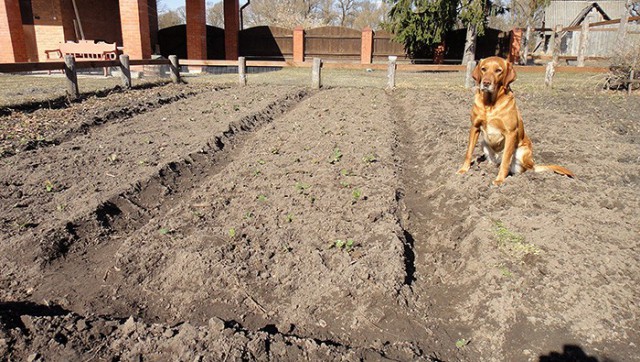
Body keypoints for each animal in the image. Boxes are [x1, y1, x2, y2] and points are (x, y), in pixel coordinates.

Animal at [458, 57, 572, 187]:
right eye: (483, 69)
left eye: (498, 70)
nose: (486, 83)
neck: (490, 105)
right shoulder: (475, 127)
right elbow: (468, 152)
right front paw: (463, 169)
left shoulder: (511, 133)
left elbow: (506, 159)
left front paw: (499, 180)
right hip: (484, 143)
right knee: (495, 161)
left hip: (523, 151)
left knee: (520, 167)